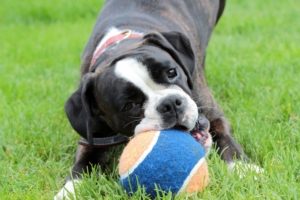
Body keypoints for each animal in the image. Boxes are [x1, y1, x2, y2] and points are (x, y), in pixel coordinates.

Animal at [55, 0, 262, 199]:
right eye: (130, 105)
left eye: (172, 72)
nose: (170, 104)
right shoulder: (92, 140)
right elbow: (81, 167)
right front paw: (68, 192)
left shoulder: (214, 116)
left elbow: (227, 141)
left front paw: (245, 169)